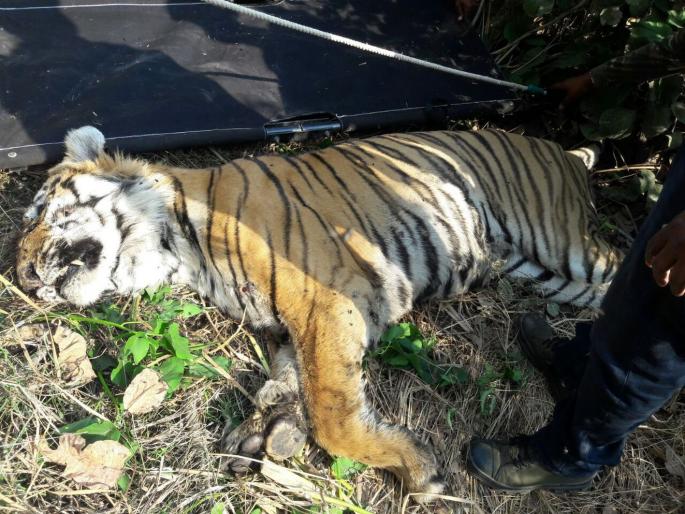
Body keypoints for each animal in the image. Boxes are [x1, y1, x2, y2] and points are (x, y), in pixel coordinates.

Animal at [16, 126, 622, 500]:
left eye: (40, 212)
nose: (22, 277)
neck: (176, 247)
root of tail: (565, 152)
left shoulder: (327, 301)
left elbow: (332, 410)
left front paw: (416, 467)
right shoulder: (286, 325)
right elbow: (288, 381)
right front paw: (265, 432)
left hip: (563, 243)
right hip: (544, 272)